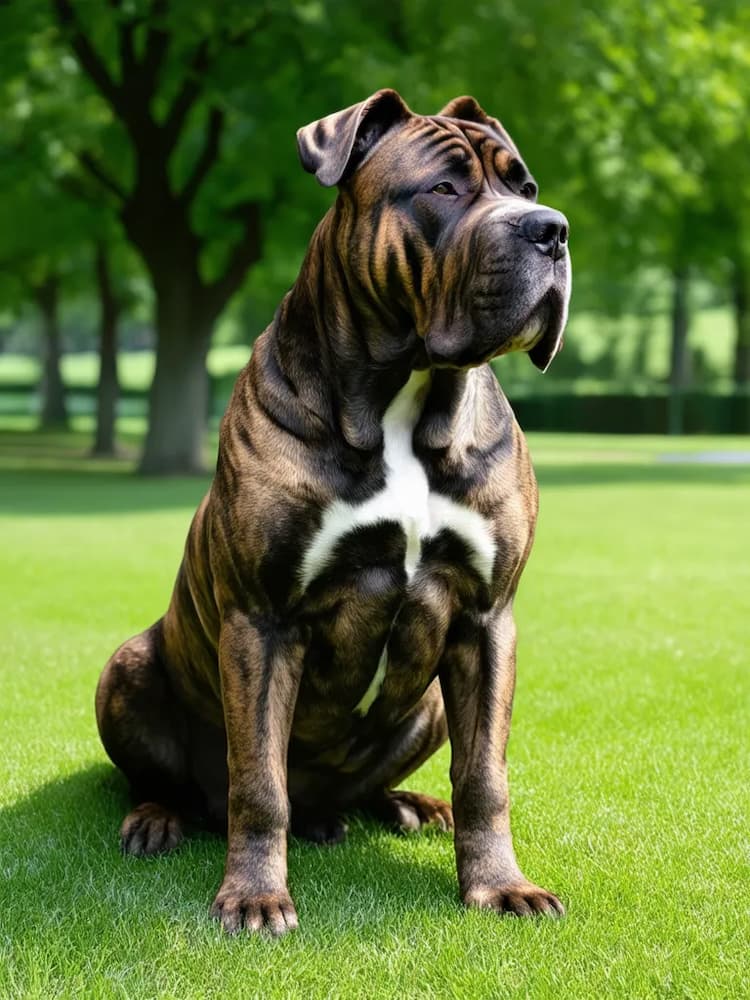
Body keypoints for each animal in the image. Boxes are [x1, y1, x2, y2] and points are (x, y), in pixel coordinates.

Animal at [97, 90, 572, 932]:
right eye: (444, 189)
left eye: (524, 185)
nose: (551, 228)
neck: (408, 397)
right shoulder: (262, 621)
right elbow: (259, 783)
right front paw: (255, 896)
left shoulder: (486, 621)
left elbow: (485, 775)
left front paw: (499, 884)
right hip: (128, 667)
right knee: (182, 784)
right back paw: (156, 819)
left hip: (430, 705)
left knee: (379, 783)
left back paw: (407, 806)